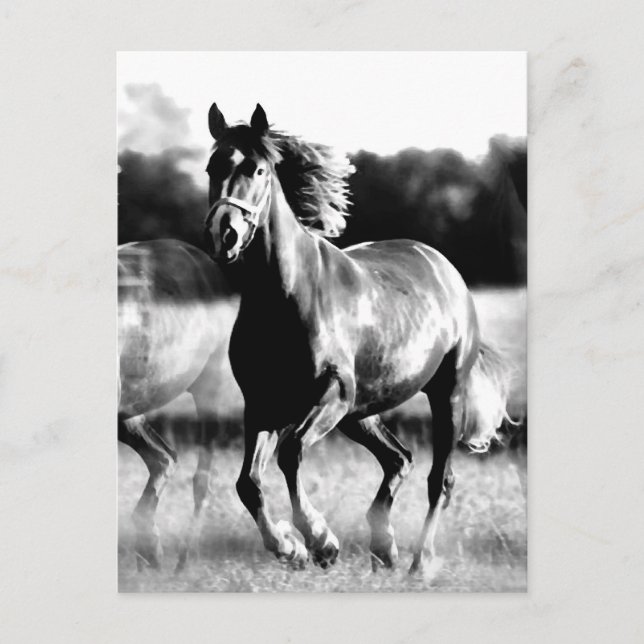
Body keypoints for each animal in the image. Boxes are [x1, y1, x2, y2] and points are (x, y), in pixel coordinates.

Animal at [203, 103, 514, 574]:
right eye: (211, 167)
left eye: (257, 169)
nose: (226, 234)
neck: (287, 297)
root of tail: (445, 268)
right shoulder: (261, 405)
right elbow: (247, 483)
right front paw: (289, 547)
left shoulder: (331, 393)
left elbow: (291, 453)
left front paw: (320, 541)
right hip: (361, 412)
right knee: (399, 459)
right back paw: (384, 547)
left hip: (442, 395)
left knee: (439, 479)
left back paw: (419, 563)